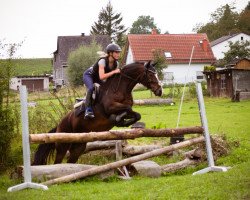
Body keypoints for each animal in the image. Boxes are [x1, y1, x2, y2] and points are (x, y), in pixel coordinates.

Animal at [32, 61, 162, 166]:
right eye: (151, 74)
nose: (160, 91)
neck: (121, 88)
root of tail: (59, 126)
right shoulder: (110, 108)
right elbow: (127, 109)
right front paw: (117, 119)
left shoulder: (124, 109)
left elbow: (135, 114)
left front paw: (121, 121)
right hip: (63, 145)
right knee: (58, 161)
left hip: (79, 146)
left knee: (71, 161)